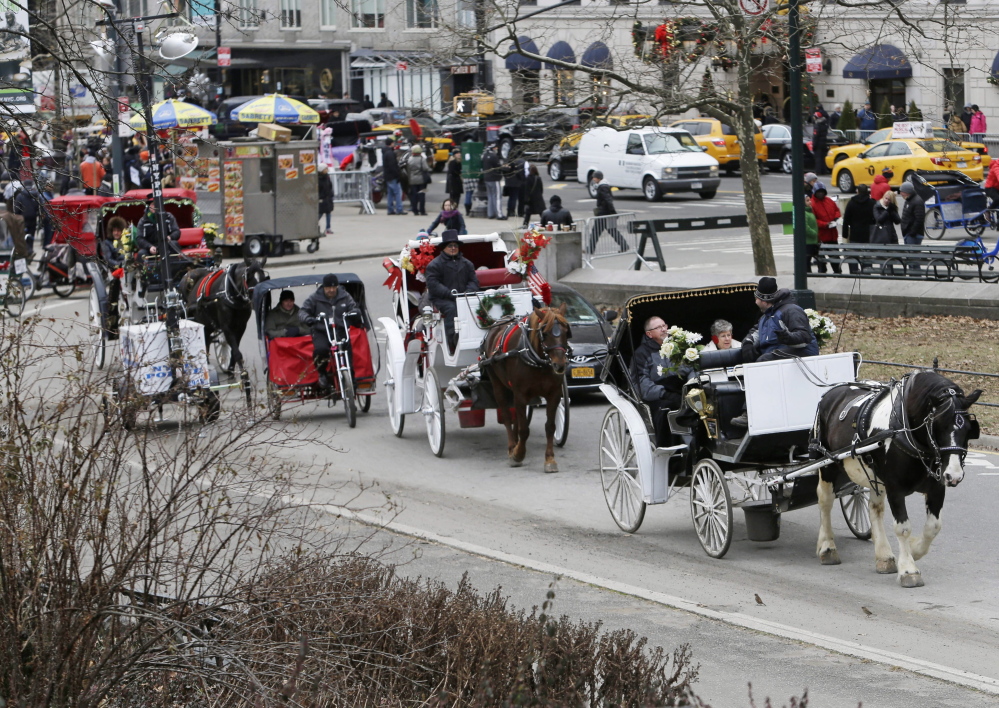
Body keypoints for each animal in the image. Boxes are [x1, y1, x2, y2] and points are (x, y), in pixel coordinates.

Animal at [482, 302, 572, 472]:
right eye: (545, 333)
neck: (537, 359)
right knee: (506, 416)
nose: (560, 365)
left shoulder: (554, 394)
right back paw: (512, 447)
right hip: (498, 385)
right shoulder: (521, 394)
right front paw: (518, 455)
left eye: (566, 332)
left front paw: (550, 459)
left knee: (516, 418)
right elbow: (524, 429)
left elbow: (550, 427)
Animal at [812, 370, 984, 588]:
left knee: (874, 509)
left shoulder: (936, 487)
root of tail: (831, 393)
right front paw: (909, 569)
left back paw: (884, 556)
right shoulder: (895, 488)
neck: (907, 431)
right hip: (826, 464)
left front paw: (915, 550)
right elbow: (903, 528)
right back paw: (827, 547)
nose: (954, 475)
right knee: (825, 501)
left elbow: (933, 527)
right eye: (938, 425)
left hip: (874, 476)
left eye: (969, 429)